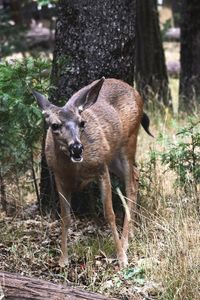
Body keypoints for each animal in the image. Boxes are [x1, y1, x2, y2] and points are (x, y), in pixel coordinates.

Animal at [33, 78, 152, 270]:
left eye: (82, 122)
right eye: (54, 125)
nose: (77, 147)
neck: (75, 169)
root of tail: (135, 92)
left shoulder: (101, 167)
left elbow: (109, 213)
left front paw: (121, 258)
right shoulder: (58, 176)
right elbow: (65, 217)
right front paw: (63, 260)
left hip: (129, 141)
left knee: (131, 185)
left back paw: (125, 241)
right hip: (114, 157)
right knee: (136, 174)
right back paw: (132, 233)